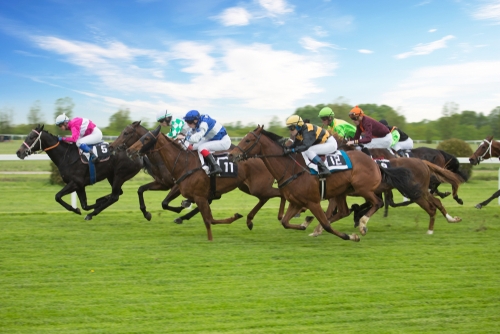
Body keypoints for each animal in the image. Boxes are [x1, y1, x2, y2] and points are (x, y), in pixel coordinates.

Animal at [15, 124, 143, 219]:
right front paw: (93, 204)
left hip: (119, 175)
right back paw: (100, 201)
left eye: (32, 137)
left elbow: (57, 196)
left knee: (115, 196)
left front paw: (76, 209)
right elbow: (85, 205)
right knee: (117, 193)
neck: (67, 156)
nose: (18, 152)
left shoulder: (75, 182)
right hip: (111, 176)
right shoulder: (80, 186)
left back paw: (92, 214)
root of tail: (136, 153)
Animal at [127, 125, 288, 240]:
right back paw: (250, 220)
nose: (129, 150)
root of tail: (261, 156)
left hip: (258, 187)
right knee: (266, 197)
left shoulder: (198, 195)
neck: (183, 163)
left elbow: (208, 219)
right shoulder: (187, 190)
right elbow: (166, 203)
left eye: (146, 139)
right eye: (141, 137)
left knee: (280, 193)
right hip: (248, 187)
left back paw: (282, 216)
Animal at [229, 124, 420, 241]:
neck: (291, 168)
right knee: (344, 211)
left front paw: (350, 236)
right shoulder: (297, 202)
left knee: (377, 202)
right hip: (342, 191)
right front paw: (306, 223)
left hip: (362, 188)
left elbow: (327, 224)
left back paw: (362, 225)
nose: (231, 155)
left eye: (247, 140)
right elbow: (285, 222)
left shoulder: (312, 202)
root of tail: (375, 162)